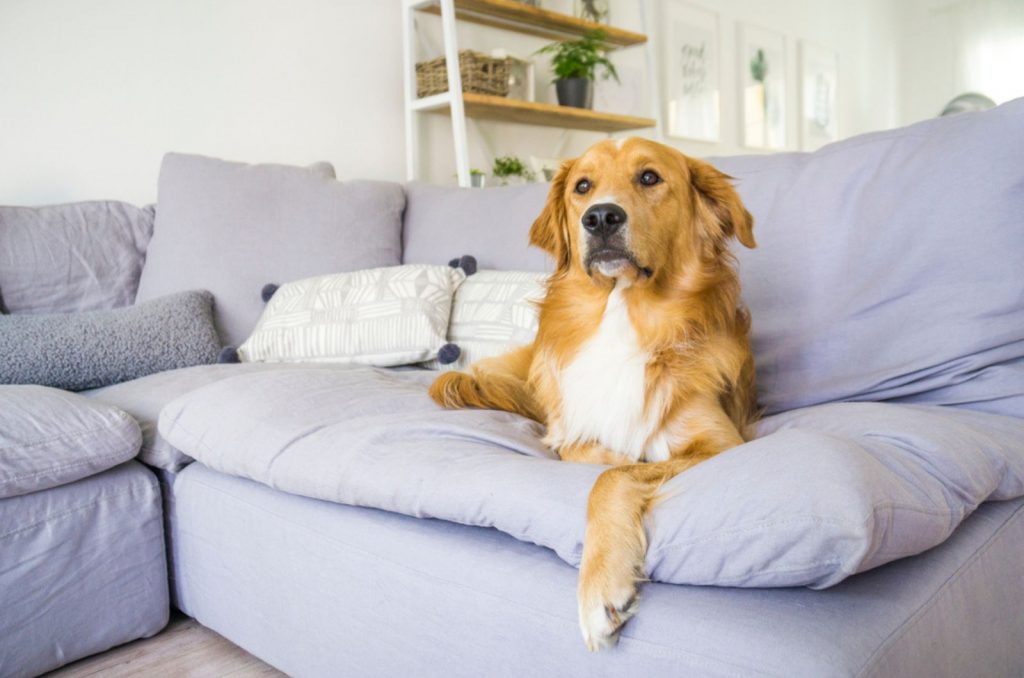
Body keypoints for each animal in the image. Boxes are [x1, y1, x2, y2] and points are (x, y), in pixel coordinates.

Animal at [428, 138, 757, 655]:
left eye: (649, 177)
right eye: (583, 187)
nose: (601, 217)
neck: (622, 312)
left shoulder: (723, 444)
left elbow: (615, 475)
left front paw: (601, 585)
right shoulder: (570, 429)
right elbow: (591, 456)